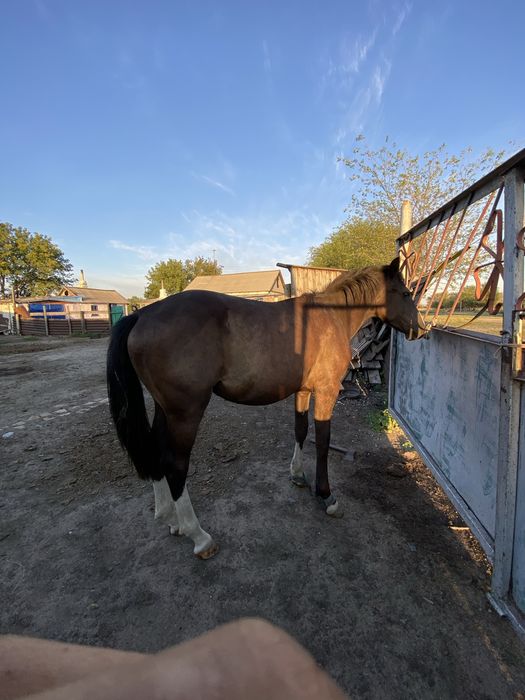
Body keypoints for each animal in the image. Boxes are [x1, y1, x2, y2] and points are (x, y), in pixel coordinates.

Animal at [107, 257, 427, 559]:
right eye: (405, 292)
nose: (421, 330)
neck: (330, 318)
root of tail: (142, 314)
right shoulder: (326, 392)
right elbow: (323, 442)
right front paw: (326, 496)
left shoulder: (303, 391)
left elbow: (300, 431)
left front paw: (297, 475)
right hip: (185, 413)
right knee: (175, 466)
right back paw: (198, 536)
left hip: (165, 410)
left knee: (155, 452)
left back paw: (170, 519)